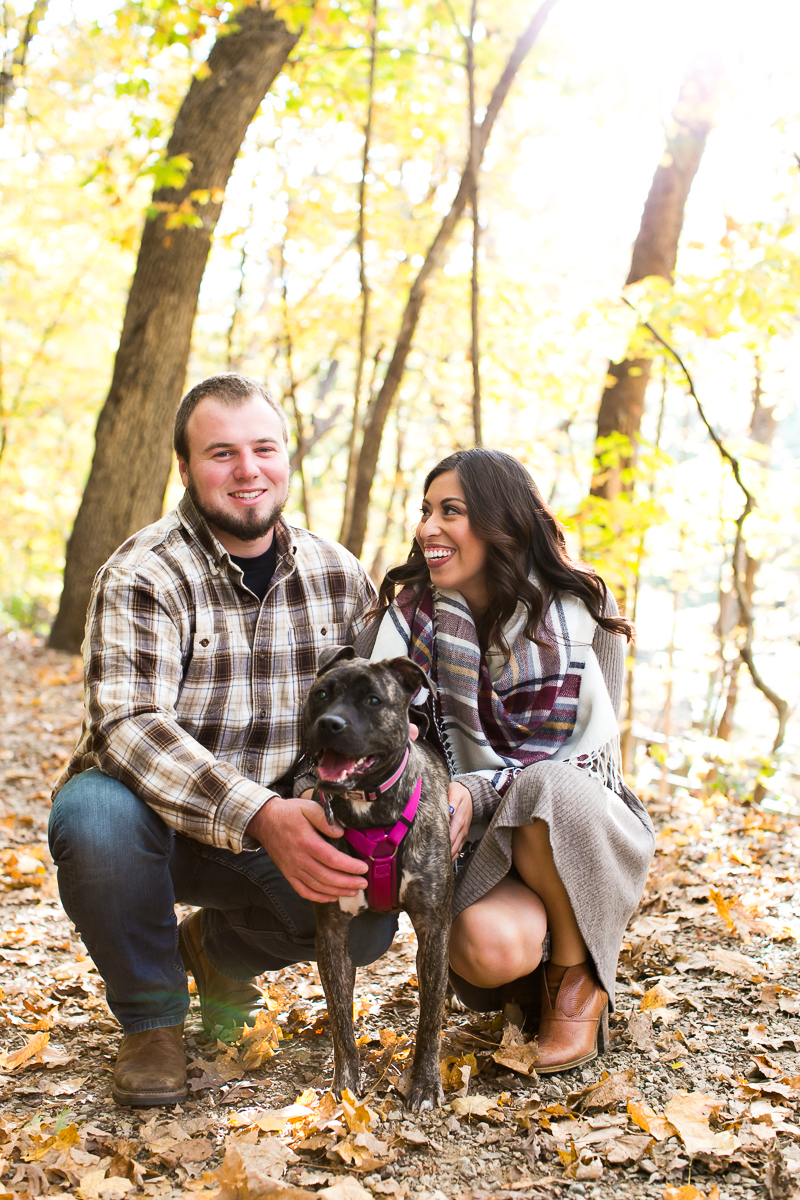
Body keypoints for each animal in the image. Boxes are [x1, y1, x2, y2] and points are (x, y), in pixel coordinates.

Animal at [303, 652, 453, 1108]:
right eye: (321, 694)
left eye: (373, 699)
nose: (330, 723)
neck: (370, 813)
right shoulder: (331, 933)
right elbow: (340, 1018)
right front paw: (345, 1084)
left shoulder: (433, 926)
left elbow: (429, 1017)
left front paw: (425, 1084)